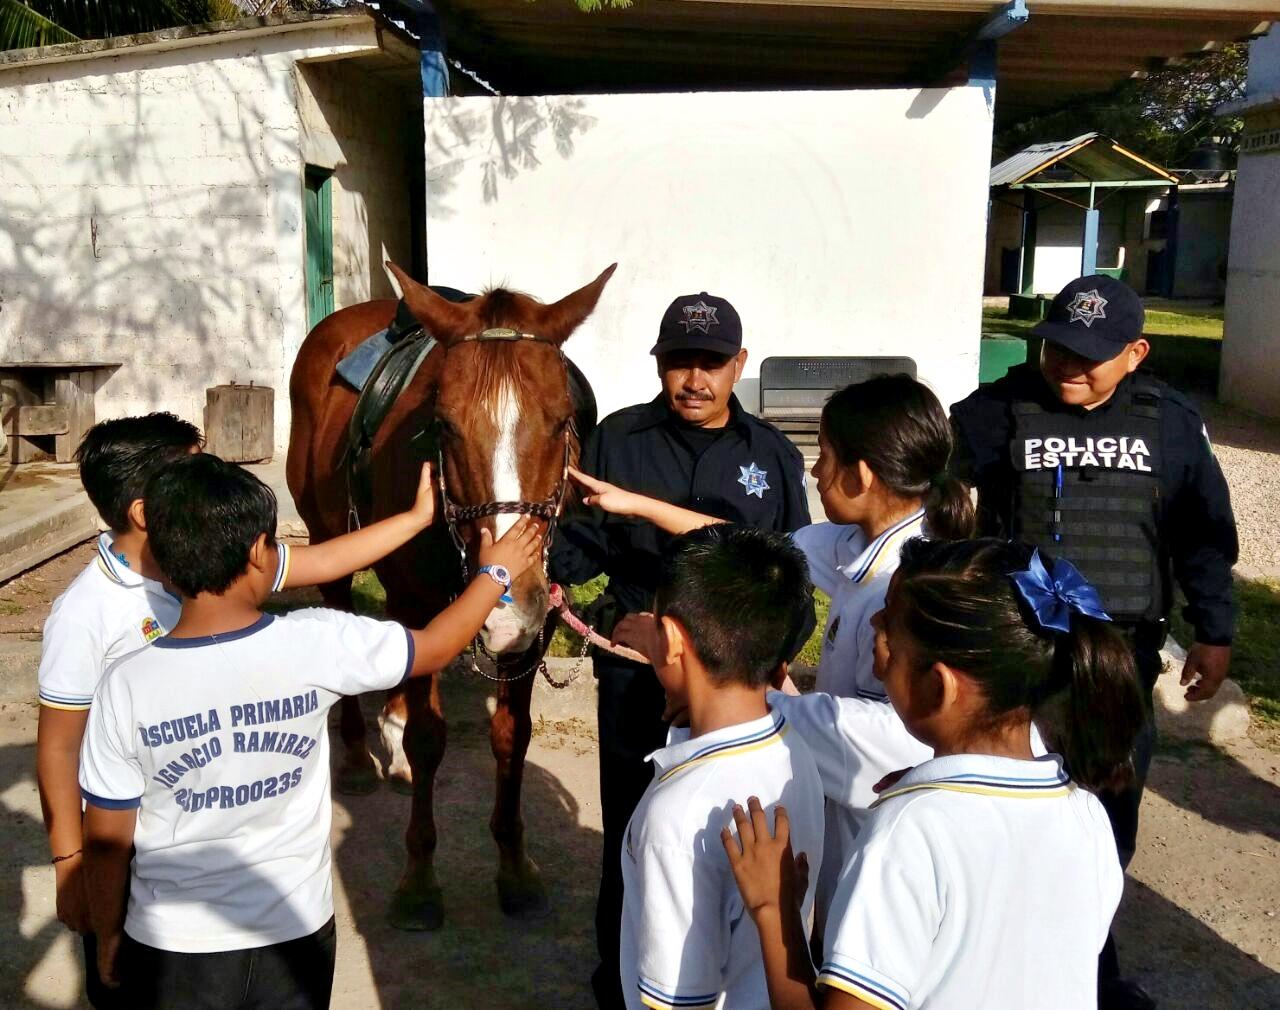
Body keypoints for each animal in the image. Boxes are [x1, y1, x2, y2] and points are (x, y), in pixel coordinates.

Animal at [288, 262, 616, 931]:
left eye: (563, 420)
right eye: (443, 425)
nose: (507, 595)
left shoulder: (535, 624)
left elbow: (512, 736)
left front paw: (515, 868)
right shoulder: (419, 601)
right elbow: (428, 738)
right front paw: (418, 881)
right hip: (330, 541)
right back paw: (357, 757)